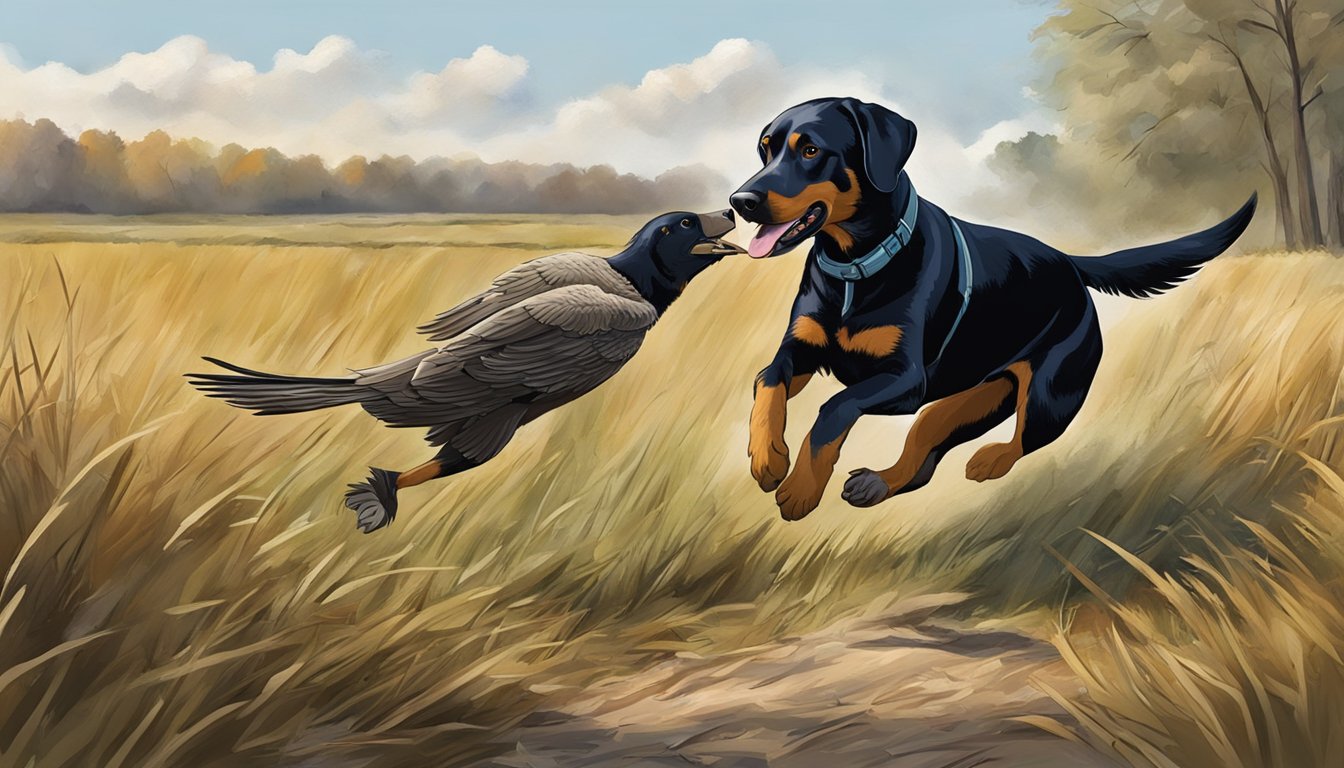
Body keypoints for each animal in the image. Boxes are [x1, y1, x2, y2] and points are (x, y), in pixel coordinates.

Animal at [731, 93, 1252, 519]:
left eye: (811, 151)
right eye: (765, 149)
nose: (741, 200)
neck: (857, 268)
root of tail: (1070, 263)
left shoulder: (905, 380)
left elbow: (833, 409)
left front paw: (801, 487)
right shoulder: (801, 351)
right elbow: (767, 381)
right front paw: (768, 457)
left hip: (1048, 394)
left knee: (1020, 439)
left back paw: (989, 460)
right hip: (976, 397)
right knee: (926, 451)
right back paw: (878, 483)